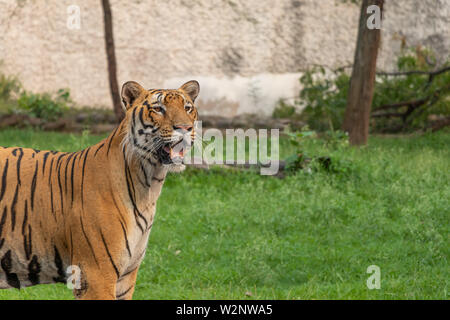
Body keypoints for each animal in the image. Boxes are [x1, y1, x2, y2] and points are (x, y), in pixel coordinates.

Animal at [0, 80, 200, 300]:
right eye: (158, 109)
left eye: (187, 108)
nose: (185, 128)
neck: (149, 186)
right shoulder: (96, 275)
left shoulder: (126, 277)